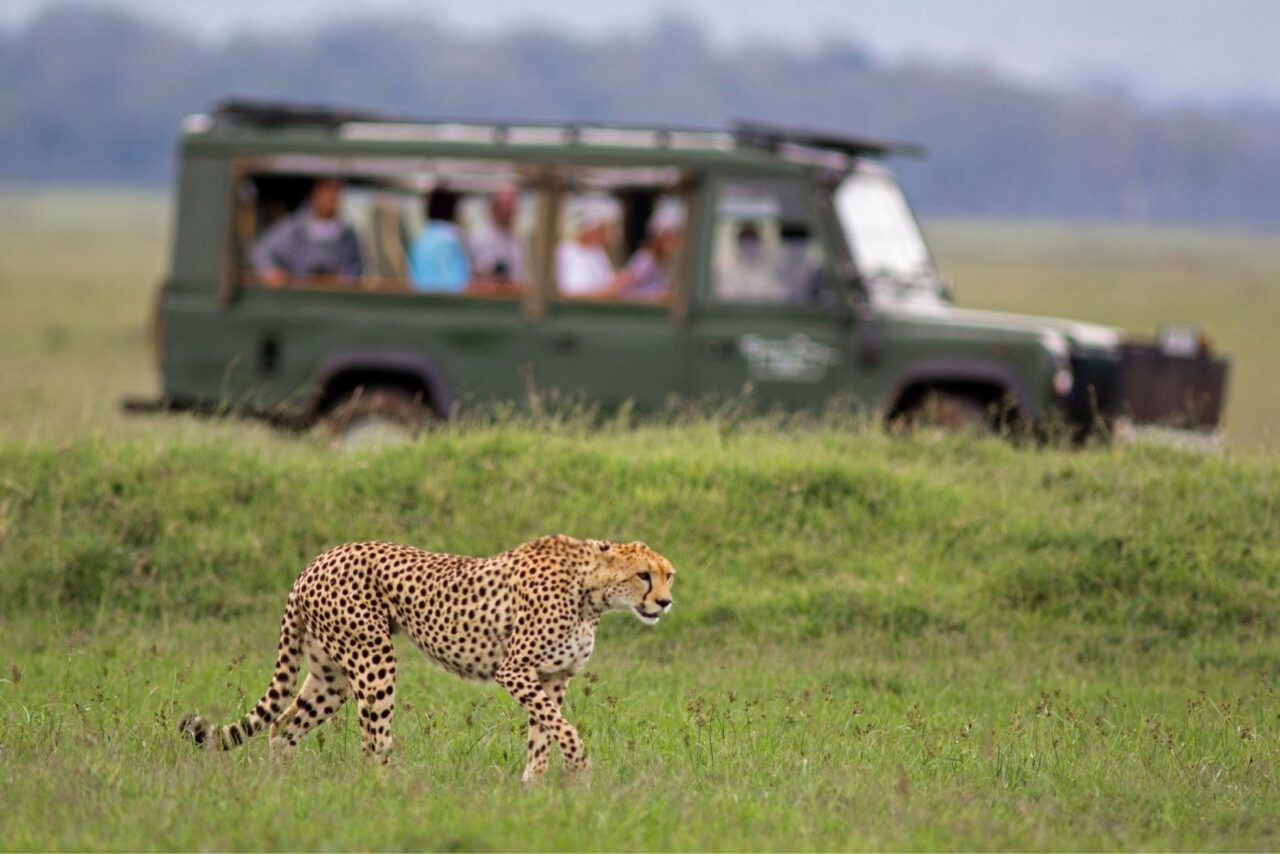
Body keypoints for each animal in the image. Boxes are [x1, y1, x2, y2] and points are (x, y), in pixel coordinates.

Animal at [179, 534, 676, 782]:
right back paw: (391, 793)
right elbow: (564, 730)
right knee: (372, 742)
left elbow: (544, 735)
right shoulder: (515, 671)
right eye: (643, 575)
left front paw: (535, 790)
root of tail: (315, 561)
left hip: (331, 675)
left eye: (668, 575)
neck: (593, 592)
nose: (666, 603)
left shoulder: (552, 678)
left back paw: (285, 789)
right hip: (373, 658)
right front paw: (580, 770)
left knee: (282, 727)